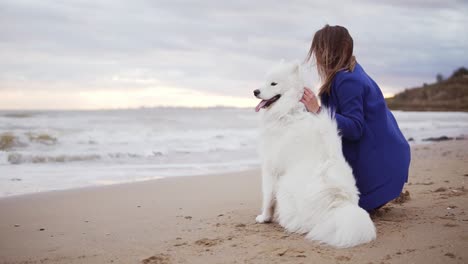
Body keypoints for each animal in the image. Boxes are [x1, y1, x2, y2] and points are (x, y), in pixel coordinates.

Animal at [252, 61, 376, 248]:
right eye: (265, 81)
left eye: (273, 84)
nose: (255, 91)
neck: (289, 110)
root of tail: (339, 204)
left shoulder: (270, 169)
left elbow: (267, 198)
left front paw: (264, 217)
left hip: (285, 186)